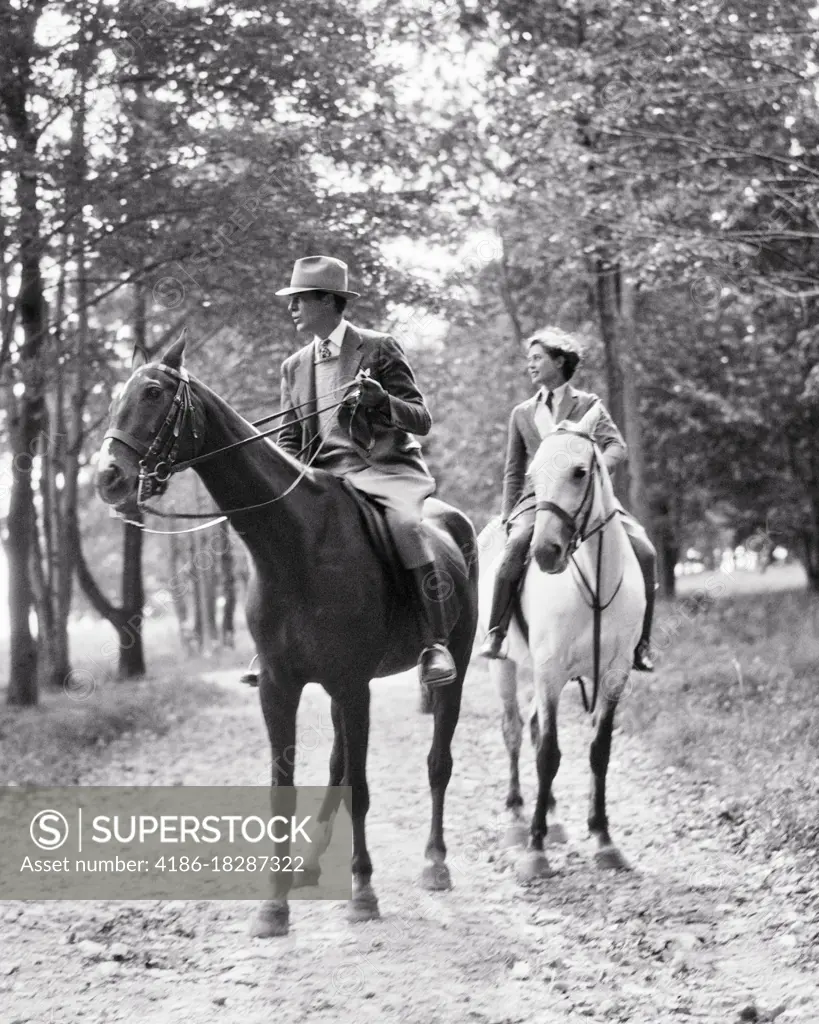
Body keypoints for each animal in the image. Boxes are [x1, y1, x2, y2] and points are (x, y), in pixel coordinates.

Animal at [96, 337, 479, 937]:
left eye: (153, 392)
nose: (107, 477)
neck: (296, 542)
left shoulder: (351, 685)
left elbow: (362, 789)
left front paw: (363, 893)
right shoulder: (283, 686)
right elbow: (288, 789)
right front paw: (273, 906)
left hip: (446, 672)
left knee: (437, 761)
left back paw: (435, 863)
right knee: (340, 766)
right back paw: (311, 865)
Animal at [477, 399, 642, 880]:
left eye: (579, 472)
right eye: (533, 472)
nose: (545, 552)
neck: (594, 583)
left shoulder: (615, 673)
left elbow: (598, 750)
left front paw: (604, 838)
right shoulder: (549, 671)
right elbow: (548, 754)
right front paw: (535, 851)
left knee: (531, 728)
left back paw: (549, 814)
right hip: (505, 666)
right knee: (515, 730)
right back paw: (519, 816)